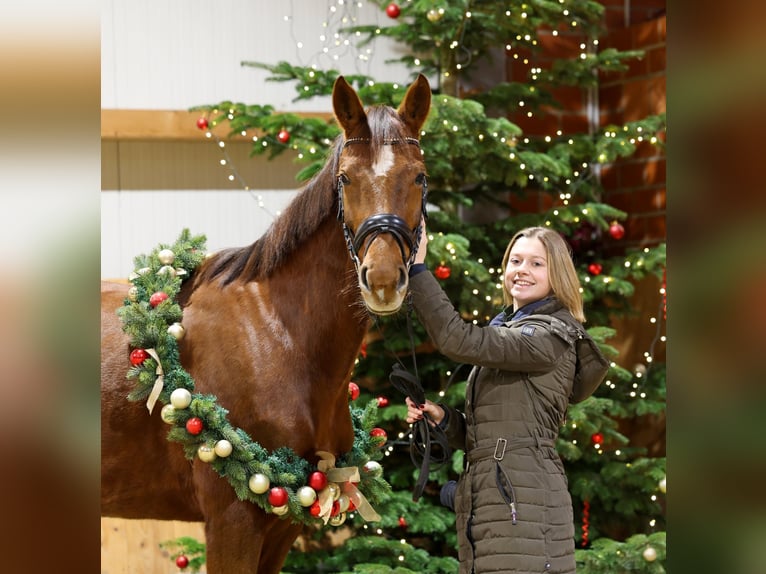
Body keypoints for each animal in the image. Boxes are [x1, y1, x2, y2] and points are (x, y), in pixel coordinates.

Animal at [100, 74, 432, 572]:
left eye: (419, 176)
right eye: (345, 178)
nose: (383, 280)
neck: (279, 336)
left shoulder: (284, 525)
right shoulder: (232, 522)